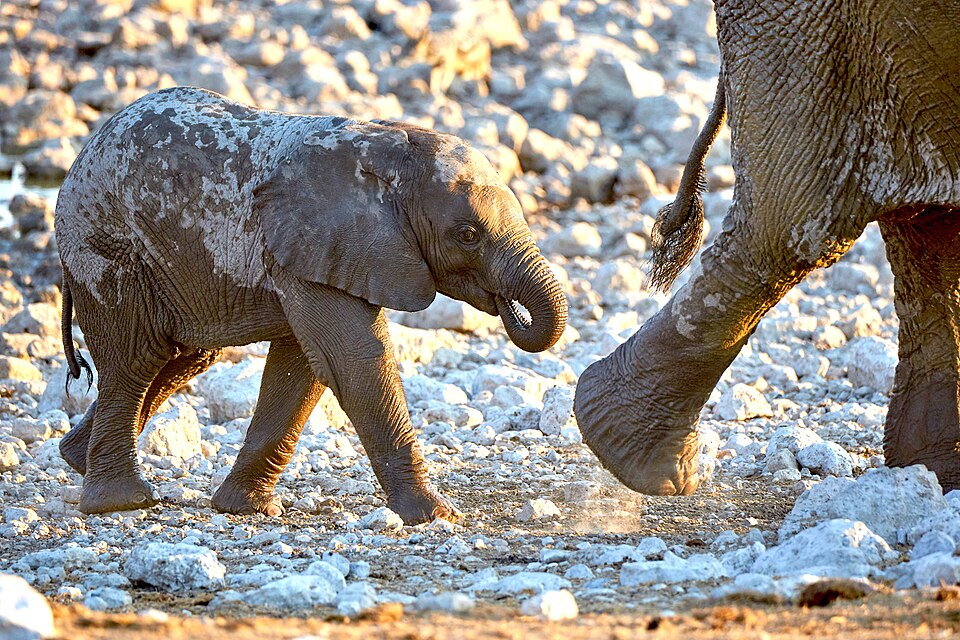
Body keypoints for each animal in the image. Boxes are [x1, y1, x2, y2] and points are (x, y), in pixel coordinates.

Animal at [55, 86, 567, 524]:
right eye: (467, 235)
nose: (508, 307)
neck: (392, 149)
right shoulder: (320, 242)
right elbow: (354, 359)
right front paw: (437, 515)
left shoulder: (316, 255)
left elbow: (303, 369)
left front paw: (247, 509)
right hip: (105, 247)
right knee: (137, 360)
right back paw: (122, 502)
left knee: (183, 359)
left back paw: (75, 460)